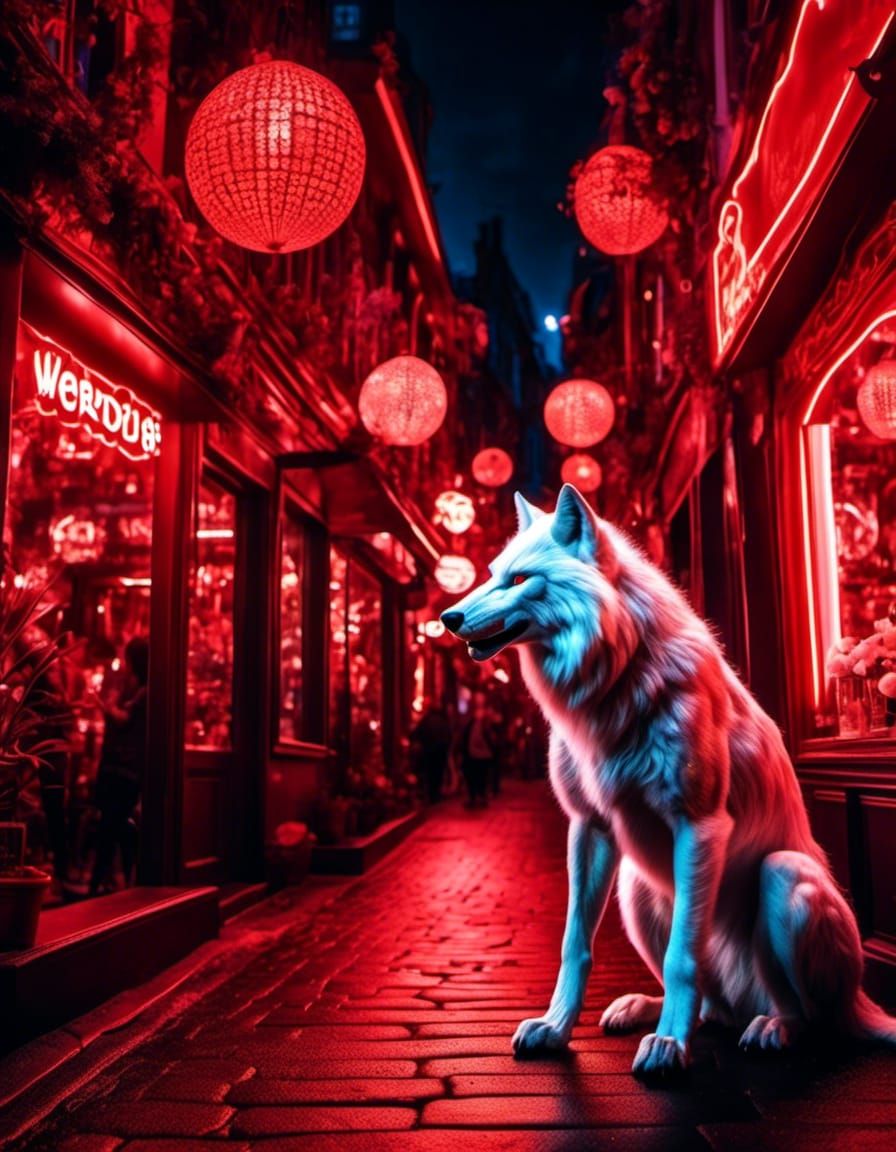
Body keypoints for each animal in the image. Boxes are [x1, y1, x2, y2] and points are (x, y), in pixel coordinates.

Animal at [441, 484, 896, 1076]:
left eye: (520, 579)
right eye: (493, 573)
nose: (448, 616)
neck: (614, 678)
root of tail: (862, 998)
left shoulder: (699, 825)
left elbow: (684, 955)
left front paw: (669, 1048)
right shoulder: (589, 827)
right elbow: (574, 944)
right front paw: (555, 1028)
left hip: (783, 875)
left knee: (810, 1018)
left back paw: (770, 1027)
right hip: (637, 887)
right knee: (713, 1009)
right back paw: (644, 1007)